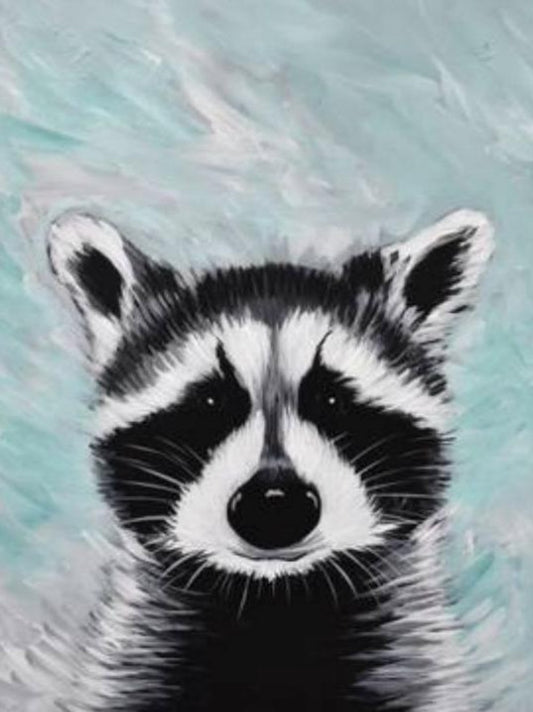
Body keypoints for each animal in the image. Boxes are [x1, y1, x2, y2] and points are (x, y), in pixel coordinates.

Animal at [47, 209, 493, 712]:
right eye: (210, 402)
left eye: (333, 400)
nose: (274, 504)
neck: (276, 601)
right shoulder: (137, 668)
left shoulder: (409, 669)